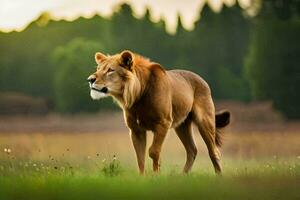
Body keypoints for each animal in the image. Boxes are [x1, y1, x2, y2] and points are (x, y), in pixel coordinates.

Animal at [86, 50, 230, 174]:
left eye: (110, 70)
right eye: (98, 69)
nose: (90, 79)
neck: (138, 96)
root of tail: (202, 79)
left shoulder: (163, 123)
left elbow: (154, 152)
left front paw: (156, 176)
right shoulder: (136, 130)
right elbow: (140, 157)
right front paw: (143, 179)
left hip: (205, 121)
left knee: (214, 152)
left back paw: (218, 177)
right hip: (182, 126)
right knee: (192, 150)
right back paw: (182, 176)